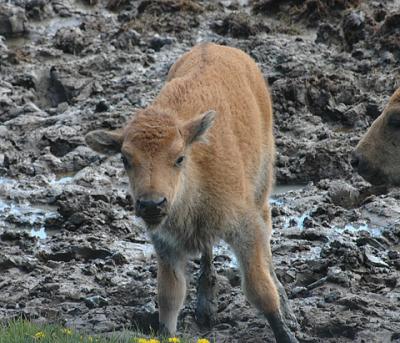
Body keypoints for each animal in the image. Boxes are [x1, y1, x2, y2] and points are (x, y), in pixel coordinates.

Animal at [85, 43, 296, 343]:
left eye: (179, 158)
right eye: (125, 159)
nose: (152, 204)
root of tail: (218, 46)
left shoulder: (244, 228)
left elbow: (260, 289)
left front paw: (287, 331)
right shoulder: (166, 245)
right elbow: (169, 296)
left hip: (262, 187)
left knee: (266, 238)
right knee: (207, 252)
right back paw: (205, 306)